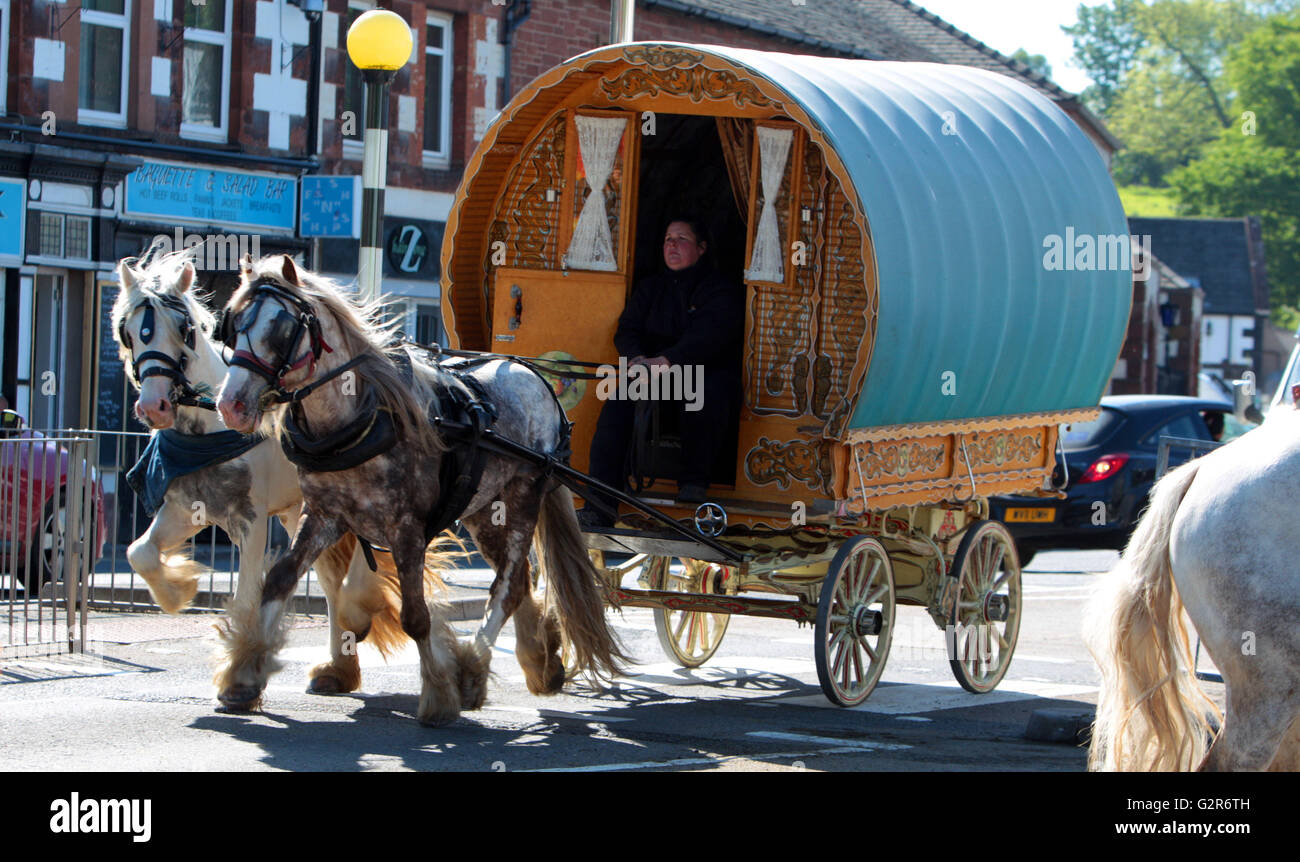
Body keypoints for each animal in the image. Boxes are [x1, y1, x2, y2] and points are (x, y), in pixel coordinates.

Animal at [113, 250, 436, 707]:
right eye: (127, 331)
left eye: (185, 327)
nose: (154, 405)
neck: (207, 428)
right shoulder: (185, 510)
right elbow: (139, 552)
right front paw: (179, 590)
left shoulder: (250, 519)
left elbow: (250, 592)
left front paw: (240, 671)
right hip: (299, 512)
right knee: (330, 582)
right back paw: (338, 668)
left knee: (355, 569)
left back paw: (357, 615)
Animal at [214, 257, 624, 728]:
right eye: (233, 323)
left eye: (281, 328)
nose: (230, 405)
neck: (359, 417)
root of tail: (535, 378)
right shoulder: (322, 515)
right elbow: (280, 580)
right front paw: (243, 676)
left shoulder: (407, 529)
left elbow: (415, 616)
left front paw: (439, 696)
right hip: (484, 512)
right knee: (518, 579)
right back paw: (533, 662)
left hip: (523, 498)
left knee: (505, 587)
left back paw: (471, 669)